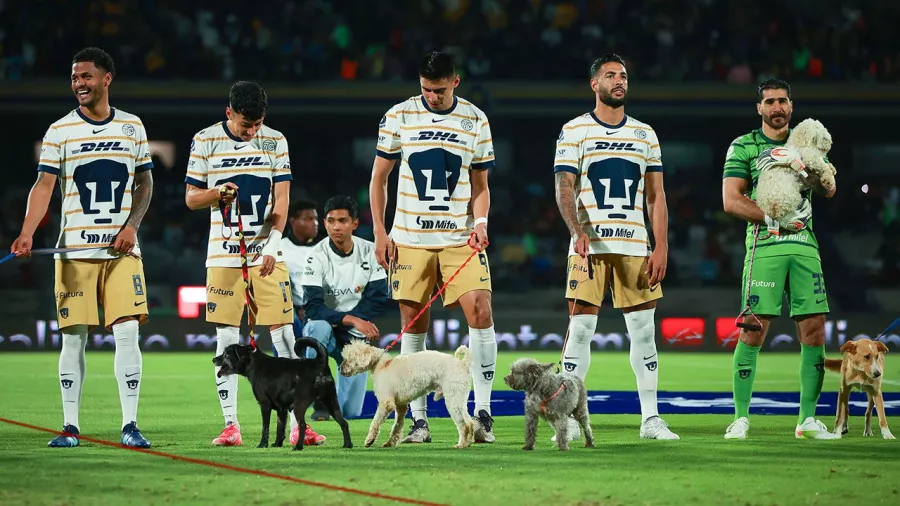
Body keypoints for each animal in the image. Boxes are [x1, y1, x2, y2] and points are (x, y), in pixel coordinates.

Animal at [211, 338, 352, 448]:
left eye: (226, 354)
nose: (213, 359)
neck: (254, 364)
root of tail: (319, 362)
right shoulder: (281, 409)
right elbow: (280, 428)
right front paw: (277, 444)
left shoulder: (265, 405)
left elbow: (265, 427)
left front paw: (262, 445)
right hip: (331, 402)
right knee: (344, 422)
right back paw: (347, 445)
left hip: (299, 404)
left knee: (302, 425)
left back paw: (298, 447)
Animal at [340, 342, 478, 448]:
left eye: (349, 358)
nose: (340, 369)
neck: (382, 364)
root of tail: (462, 363)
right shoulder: (400, 406)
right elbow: (397, 426)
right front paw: (390, 443)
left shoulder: (386, 403)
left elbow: (375, 422)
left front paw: (369, 440)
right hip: (459, 399)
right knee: (470, 422)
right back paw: (468, 442)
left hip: (453, 400)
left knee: (464, 425)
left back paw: (461, 444)